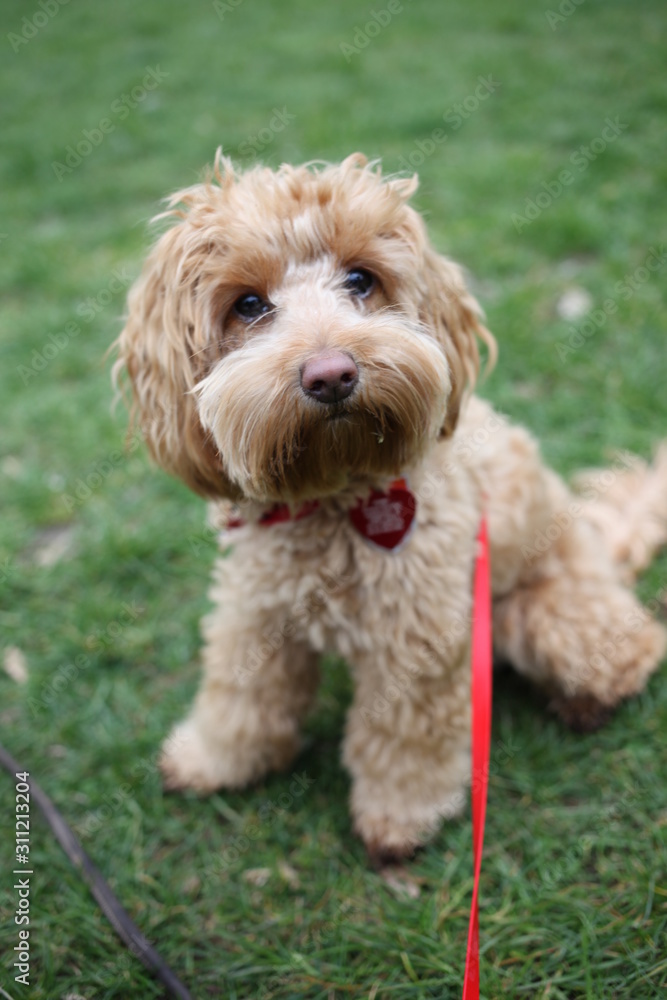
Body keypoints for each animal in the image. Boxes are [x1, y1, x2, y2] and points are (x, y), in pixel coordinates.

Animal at [115, 152, 667, 864]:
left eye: (360, 280)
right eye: (248, 305)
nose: (331, 374)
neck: (330, 496)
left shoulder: (417, 637)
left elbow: (406, 738)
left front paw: (400, 818)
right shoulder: (253, 611)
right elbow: (240, 696)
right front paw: (213, 760)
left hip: (546, 615)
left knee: (632, 650)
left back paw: (584, 703)